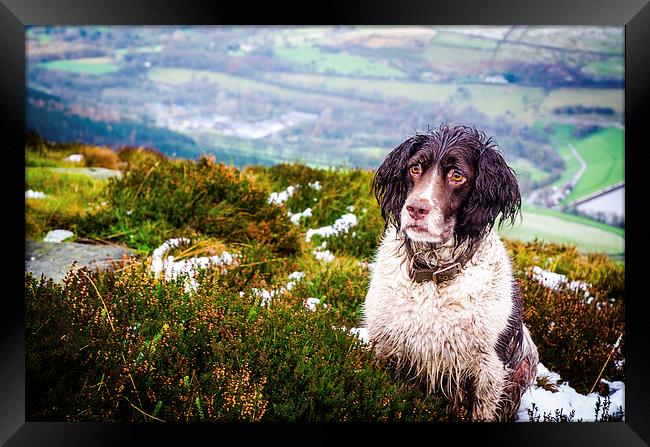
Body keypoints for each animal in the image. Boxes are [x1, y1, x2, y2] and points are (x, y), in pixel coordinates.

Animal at [364, 124, 536, 422]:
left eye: (457, 175)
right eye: (414, 168)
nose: (416, 209)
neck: (433, 273)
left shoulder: (491, 367)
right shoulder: (383, 343)